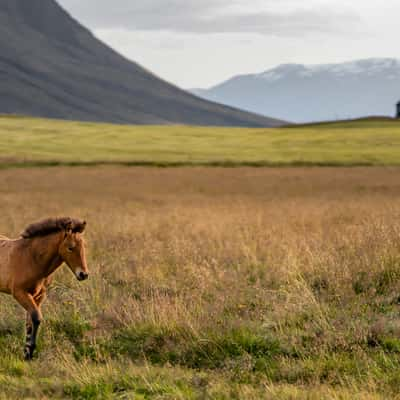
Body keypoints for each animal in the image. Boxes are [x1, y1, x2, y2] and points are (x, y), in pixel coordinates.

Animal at [0, 217, 88, 360]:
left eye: (83, 246)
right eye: (70, 248)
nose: (83, 274)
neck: (31, 258)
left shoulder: (39, 295)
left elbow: (30, 322)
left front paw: (27, 353)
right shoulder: (20, 293)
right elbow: (36, 317)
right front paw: (30, 350)